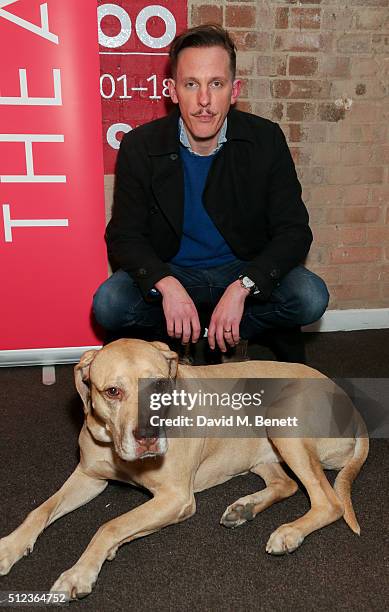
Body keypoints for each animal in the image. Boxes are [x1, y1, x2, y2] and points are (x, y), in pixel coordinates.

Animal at [0, 338, 366, 600]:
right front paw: (9, 546)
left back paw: (289, 532)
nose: (147, 436)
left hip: (284, 421)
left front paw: (80, 571)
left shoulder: (175, 498)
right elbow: (41, 510)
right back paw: (245, 508)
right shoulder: (88, 477)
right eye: (113, 392)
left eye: (160, 385)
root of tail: (350, 404)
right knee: (285, 484)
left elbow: (111, 525)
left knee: (328, 502)